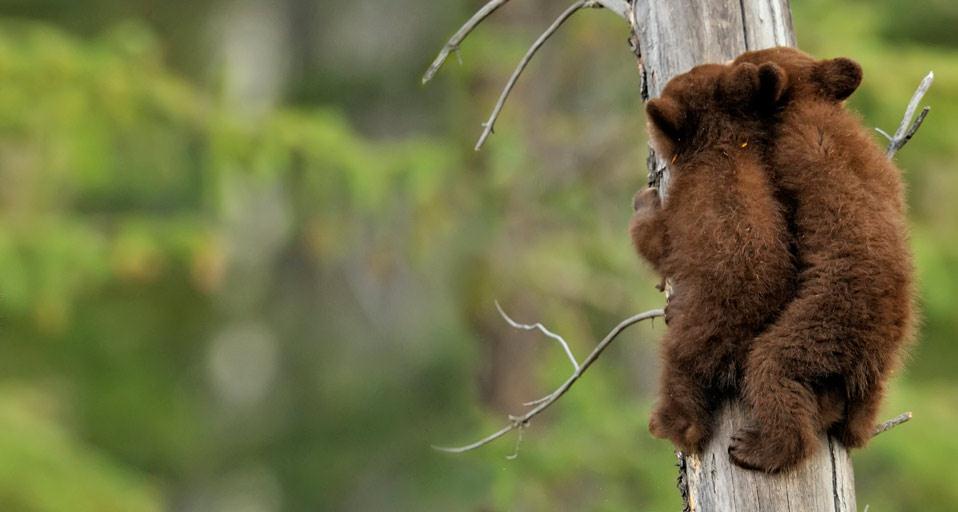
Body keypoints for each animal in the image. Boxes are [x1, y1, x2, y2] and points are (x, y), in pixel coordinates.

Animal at [630, 61, 797, 454]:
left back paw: (671, 424)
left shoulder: (683, 208)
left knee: (680, 372)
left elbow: (656, 241)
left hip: (698, 333)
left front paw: (643, 199)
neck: (723, 146)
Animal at [721, 47, 916, 473]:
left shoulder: (797, 149)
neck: (808, 101)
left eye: (743, 62)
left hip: (823, 322)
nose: (726, 65)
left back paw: (758, 447)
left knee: (772, 368)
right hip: (880, 365)